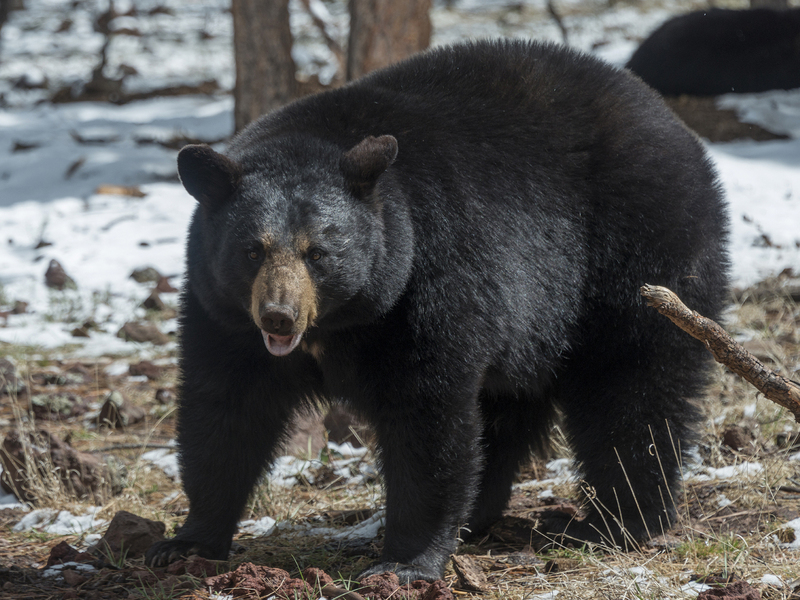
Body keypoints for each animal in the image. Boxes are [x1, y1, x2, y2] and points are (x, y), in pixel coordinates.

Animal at [145, 39, 729, 583]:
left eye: (319, 253)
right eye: (252, 250)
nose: (278, 317)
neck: (337, 325)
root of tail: (668, 118)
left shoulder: (425, 284)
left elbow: (426, 415)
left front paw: (404, 563)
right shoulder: (221, 313)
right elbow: (224, 410)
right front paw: (185, 542)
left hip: (641, 252)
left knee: (633, 384)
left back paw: (616, 523)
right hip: (537, 319)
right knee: (509, 407)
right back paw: (483, 513)